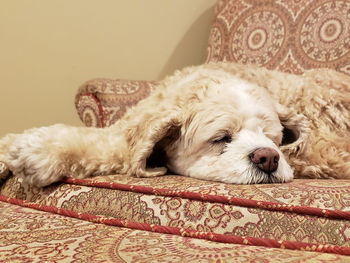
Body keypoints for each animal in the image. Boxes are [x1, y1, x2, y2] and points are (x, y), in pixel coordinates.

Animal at [0, 62, 350, 187]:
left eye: (274, 139)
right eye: (222, 138)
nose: (269, 158)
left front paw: (31, 154)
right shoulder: (130, 130)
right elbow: (102, 145)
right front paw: (23, 149)